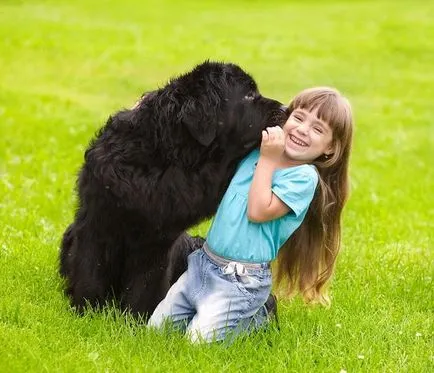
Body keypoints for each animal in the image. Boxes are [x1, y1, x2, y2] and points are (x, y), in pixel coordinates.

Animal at [58, 61, 288, 316]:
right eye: (248, 95)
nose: (287, 108)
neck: (168, 155)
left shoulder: (158, 239)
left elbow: (147, 283)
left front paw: (137, 318)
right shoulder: (97, 222)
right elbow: (91, 270)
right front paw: (86, 311)